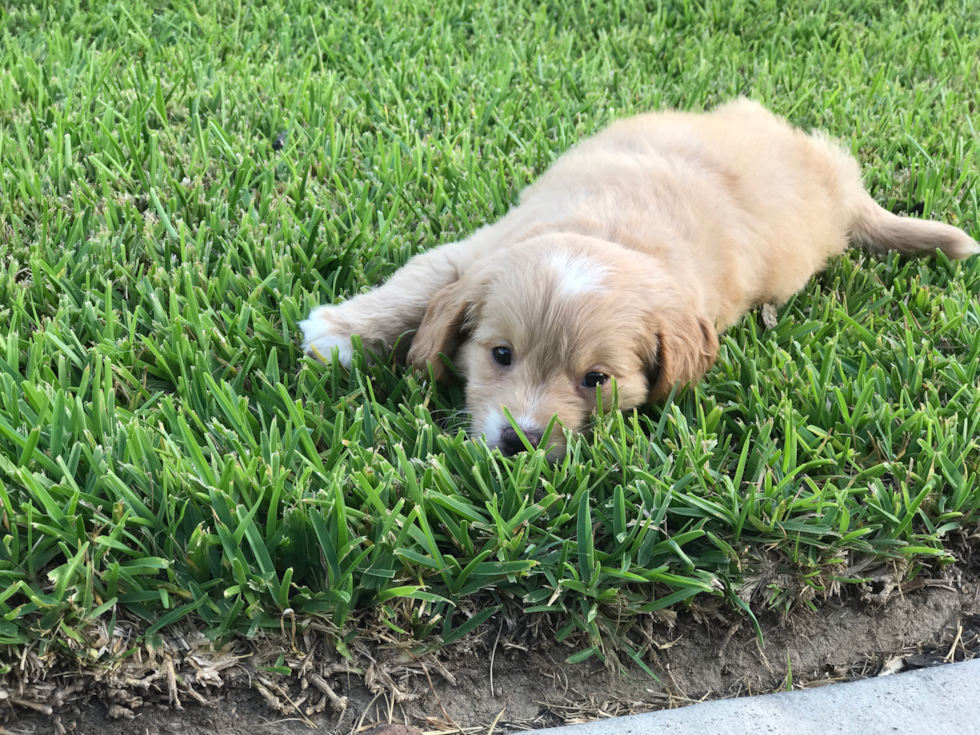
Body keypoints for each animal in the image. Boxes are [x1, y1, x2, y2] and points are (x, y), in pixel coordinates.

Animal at [302, 98, 976, 454]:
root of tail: (841, 185)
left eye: (595, 380)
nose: (521, 442)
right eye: (500, 354)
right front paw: (341, 333)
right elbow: (424, 278)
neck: (608, 231)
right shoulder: (483, 247)